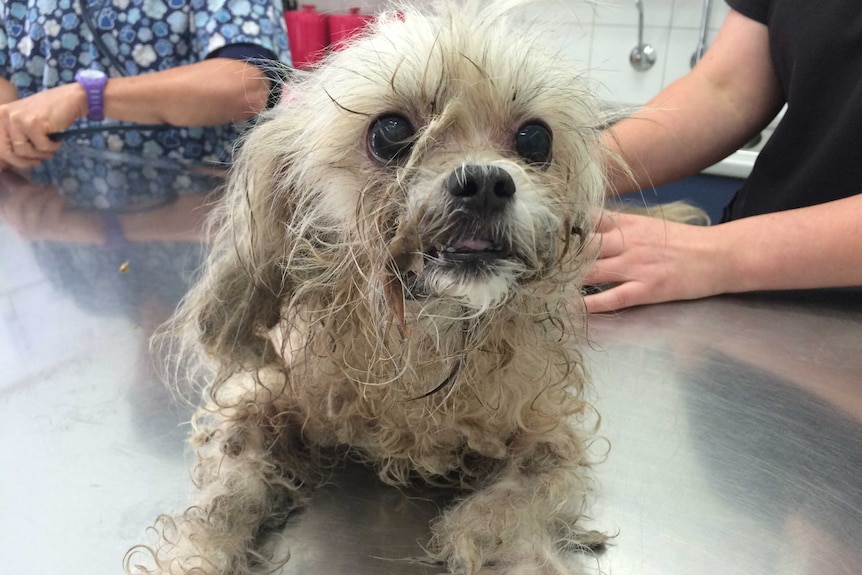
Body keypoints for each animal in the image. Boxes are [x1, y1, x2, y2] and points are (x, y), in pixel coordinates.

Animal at [126, 2, 616, 572]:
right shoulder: (259, 401)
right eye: (390, 133)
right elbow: (225, 497)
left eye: (534, 139)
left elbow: (508, 508)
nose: (486, 183)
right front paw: (199, 554)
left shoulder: (547, 434)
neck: (422, 336)